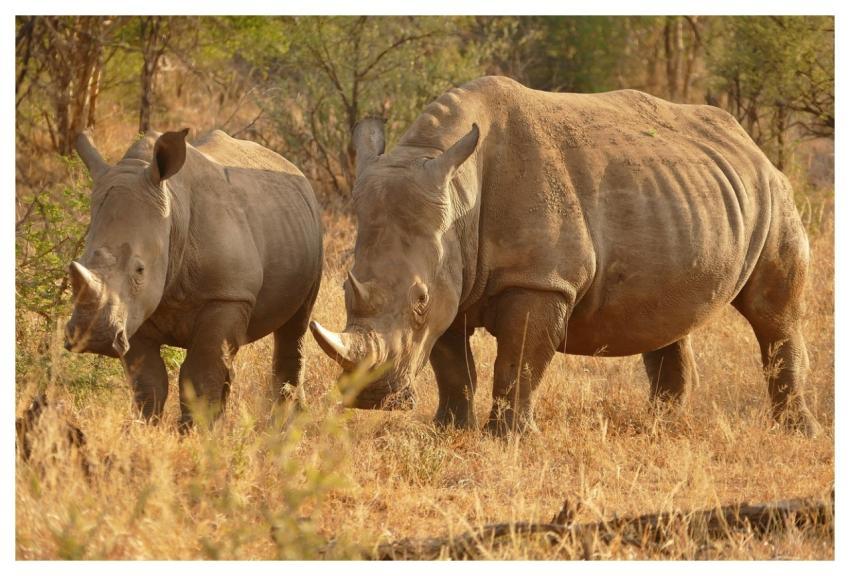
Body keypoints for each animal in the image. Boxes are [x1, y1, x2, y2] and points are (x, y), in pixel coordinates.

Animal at [66, 129, 323, 428]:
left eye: (139, 270)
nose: (93, 337)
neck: (173, 214)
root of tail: (291, 167)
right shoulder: (133, 310)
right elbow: (149, 379)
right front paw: (146, 427)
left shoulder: (227, 295)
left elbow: (200, 372)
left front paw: (195, 432)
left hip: (311, 235)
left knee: (295, 326)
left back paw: (288, 422)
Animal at [311, 75, 820, 437]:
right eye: (346, 288)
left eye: (417, 301)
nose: (371, 398)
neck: (457, 194)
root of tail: (749, 143)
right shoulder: (452, 276)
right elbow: (451, 363)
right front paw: (449, 430)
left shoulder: (541, 279)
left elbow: (518, 361)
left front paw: (508, 437)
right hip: (685, 195)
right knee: (669, 314)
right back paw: (660, 427)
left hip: (774, 191)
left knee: (774, 314)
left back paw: (797, 432)